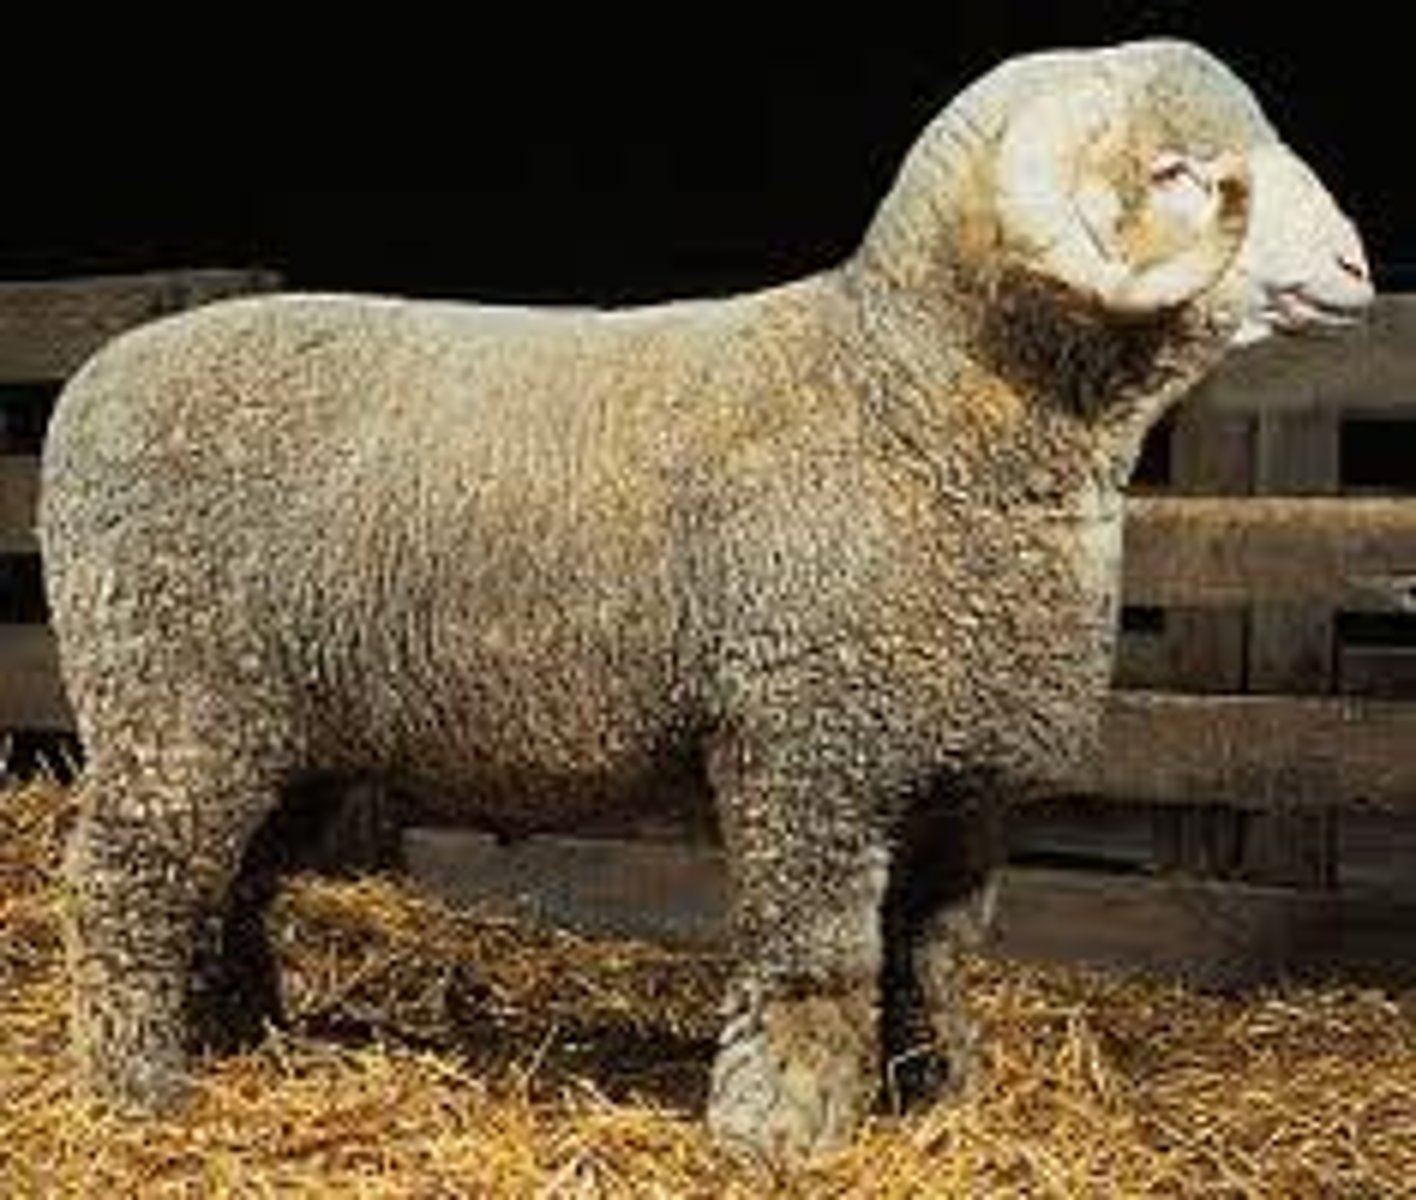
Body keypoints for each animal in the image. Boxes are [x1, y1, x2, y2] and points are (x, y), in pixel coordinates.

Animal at [39, 38, 1371, 1163]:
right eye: (1179, 170)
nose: (1359, 266)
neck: (907, 400)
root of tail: (88, 386)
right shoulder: (811, 755)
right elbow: (815, 959)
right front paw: (780, 1131)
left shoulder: (960, 781)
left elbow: (935, 957)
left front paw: (944, 1100)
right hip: (171, 707)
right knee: (125, 886)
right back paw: (139, 1089)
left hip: (282, 734)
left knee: (226, 884)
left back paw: (240, 1040)